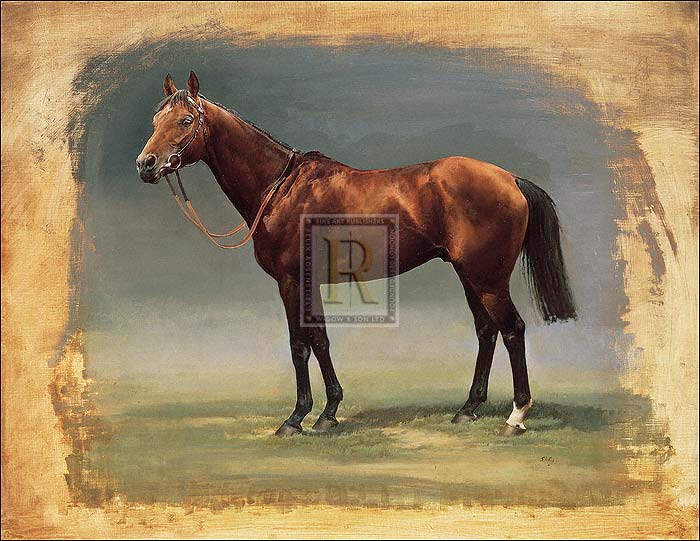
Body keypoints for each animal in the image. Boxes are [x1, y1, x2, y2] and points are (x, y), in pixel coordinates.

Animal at [136, 71, 577, 437]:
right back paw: (467, 409)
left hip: (487, 278)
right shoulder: (309, 282)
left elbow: (300, 345)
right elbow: (320, 340)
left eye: (186, 121)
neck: (282, 188)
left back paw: (516, 417)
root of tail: (511, 179)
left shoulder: (291, 281)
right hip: (468, 275)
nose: (146, 164)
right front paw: (328, 413)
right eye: (156, 122)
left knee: (512, 330)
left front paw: (296, 418)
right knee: (486, 331)